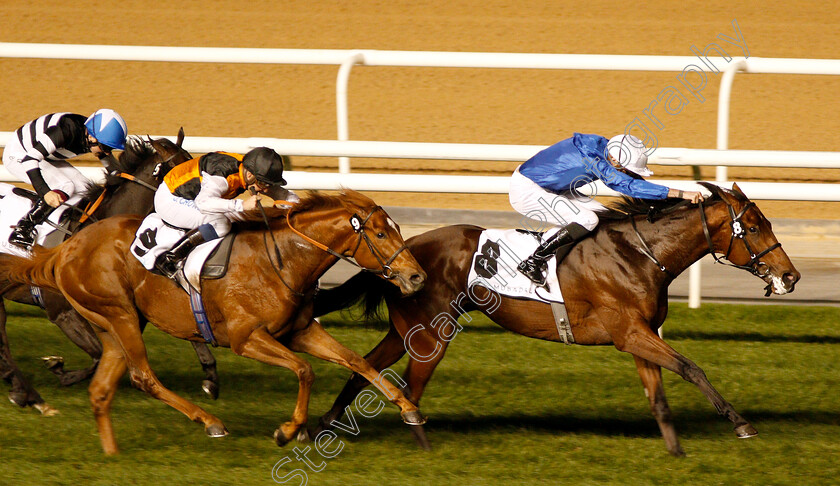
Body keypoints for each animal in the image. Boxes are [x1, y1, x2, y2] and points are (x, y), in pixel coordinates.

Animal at [0, 132, 220, 414]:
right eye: (187, 177)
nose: (211, 215)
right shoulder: (62, 313)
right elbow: (98, 356)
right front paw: (60, 369)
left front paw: (210, 378)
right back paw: (27, 393)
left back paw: (22, 391)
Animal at [0, 188, 424, 454]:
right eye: (381, 234)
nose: (416, 276)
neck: (282, 259)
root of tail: (65, 249)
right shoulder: (246, 338)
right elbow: (305, 371)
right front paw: (288, 431)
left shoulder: (299, 331)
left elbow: (356, 361)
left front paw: (409, 409)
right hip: (119, 315)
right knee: (143, 377)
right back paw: (209, 421)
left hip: (115, 325)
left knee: (102, 389)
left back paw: (111, 452)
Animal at [310, 181, 800, 456]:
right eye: (752, 227)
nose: (790, 276)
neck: (641, 254)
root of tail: (403, 253)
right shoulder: (630, 333)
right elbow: (691, 367)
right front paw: (741, 424)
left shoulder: (639, 336)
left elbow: (658, 395)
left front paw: (675, 450)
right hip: (431, 335)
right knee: (410, 387)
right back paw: (417, 442)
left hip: (407, 331)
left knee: (363, 369)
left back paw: (323, 426)